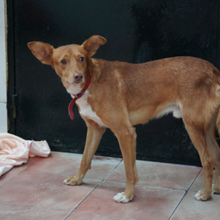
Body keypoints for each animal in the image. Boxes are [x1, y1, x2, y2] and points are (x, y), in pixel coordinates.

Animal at [27, 35, 220, 203]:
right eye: (63, 61)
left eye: (82, 59)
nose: (77, 76)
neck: (90, 82)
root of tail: (212, 70)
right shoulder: (95, 128)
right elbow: (86, 158)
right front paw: (77, 179)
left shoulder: (125, 132)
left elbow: (128, 169)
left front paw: (127, 196)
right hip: (207, 128)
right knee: (217, 154)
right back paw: (216, 189)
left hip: (193, 125)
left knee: (208, 160)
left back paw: (206, 194)